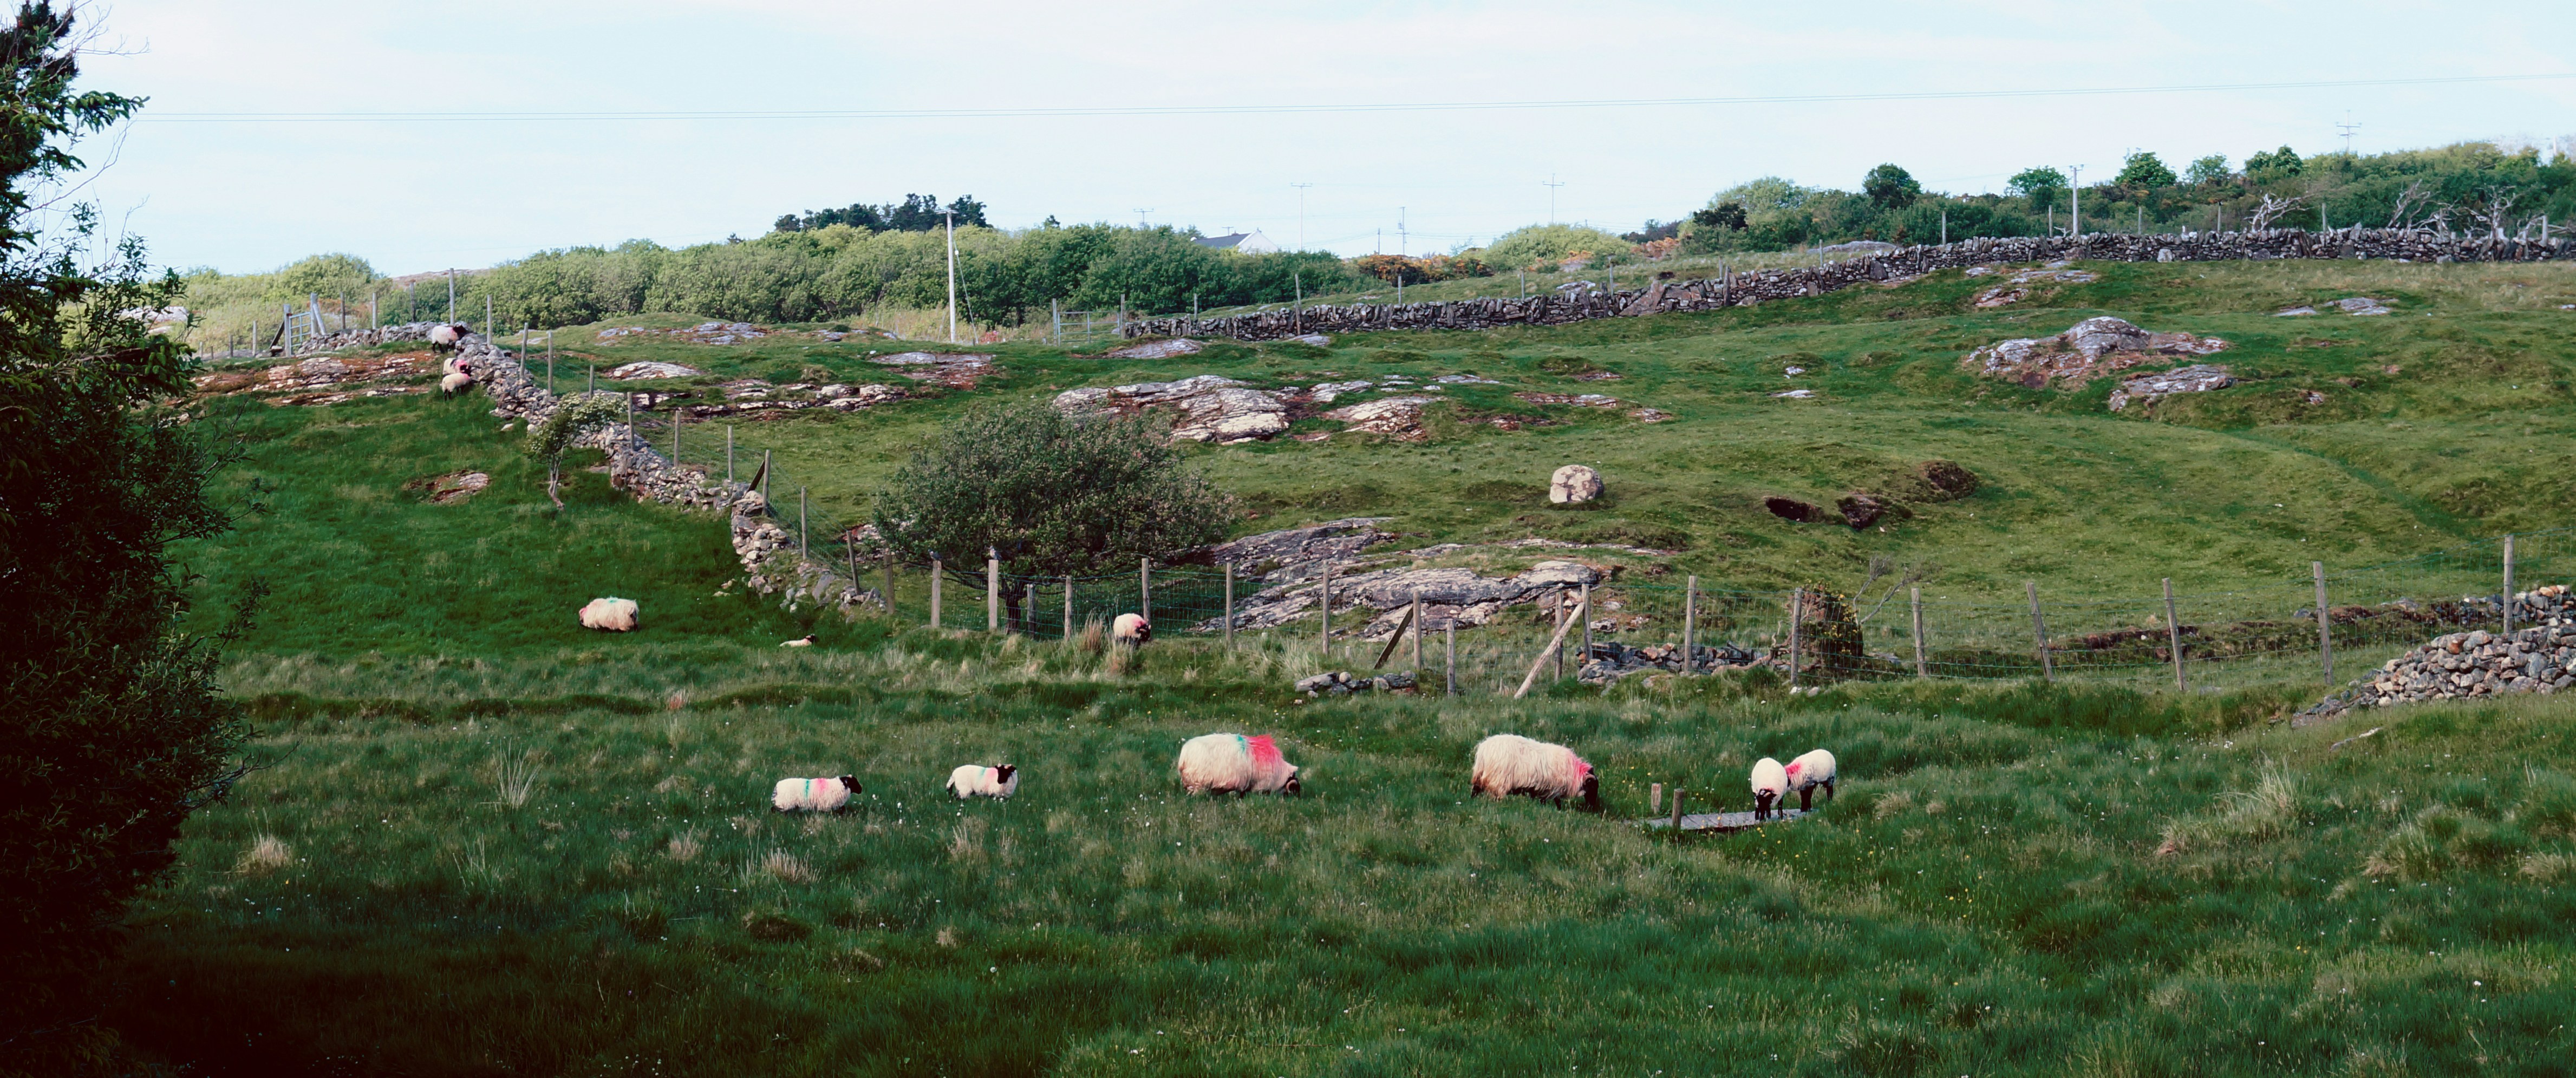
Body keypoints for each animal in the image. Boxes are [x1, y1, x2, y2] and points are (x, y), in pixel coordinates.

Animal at [771, 775, 861, 812]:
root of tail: (777, 787)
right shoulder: (826, 806)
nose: (861, 790)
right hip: (784, 803)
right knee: (774, 809)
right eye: (854, 783)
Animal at [945, 764, 1020, 800]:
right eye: (999, 771)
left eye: (1006, 772)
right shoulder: (994, 794)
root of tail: (954, 774)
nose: (999, 781)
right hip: (964, 790)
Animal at [1470, 734, 1601, 811]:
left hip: (1481, 775)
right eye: (1593, 786)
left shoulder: (1541, 788)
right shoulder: (1553, 788)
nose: (1592, 806)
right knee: (1495, 796)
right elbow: (1556, 802)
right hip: (1499, 779)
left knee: (1475, 790)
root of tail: (1484, 749)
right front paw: (1559, 811)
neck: (1574, 772)